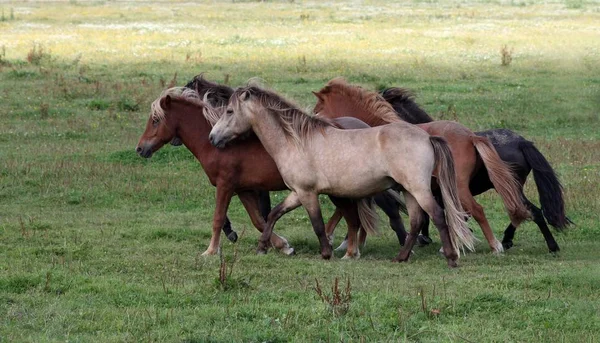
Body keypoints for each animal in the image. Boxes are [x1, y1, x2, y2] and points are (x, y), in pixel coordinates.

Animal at [135, 86, 390, 260]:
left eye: (155, 120)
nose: (140, 149)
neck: (219, 146)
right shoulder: (244, 190)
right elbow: (259, 220)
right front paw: (282, 245)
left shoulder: (225, 186)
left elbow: (219, 218)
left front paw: (210, 251)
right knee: (350, 214)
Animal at [209, 84, 476, 268]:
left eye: (229, 111)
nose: (213, 138)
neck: (296, 141)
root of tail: (427, 137)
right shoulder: (297, 193)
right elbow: (274, 214)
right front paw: (264, 247)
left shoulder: (307, 193)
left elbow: (317, 225)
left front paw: (326, 253)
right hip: (409, 191)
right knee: (416, 222)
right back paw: (400, 257)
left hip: (418, 189)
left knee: (438, 215)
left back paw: (451, 258)